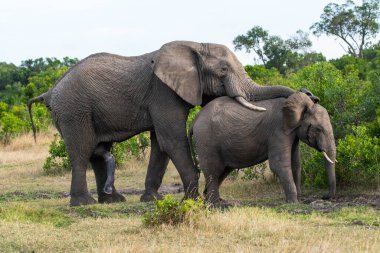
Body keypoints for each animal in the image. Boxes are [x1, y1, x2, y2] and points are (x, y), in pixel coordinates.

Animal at [29, 40, 296, 206]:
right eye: (223, 70)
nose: (304, 93)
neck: (195, 45)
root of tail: (50, 92)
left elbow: (160, 144)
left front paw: (151, 200)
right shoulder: (163, 92)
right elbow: (172, 140)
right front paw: (190, 200)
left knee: (98, 152)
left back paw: (113, 201)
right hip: (74, 110)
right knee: (82, 151)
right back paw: (83, 203)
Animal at [190, 92, 336, 207]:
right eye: (318, 129)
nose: (324, 196)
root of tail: (195, 119)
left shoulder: (293, 133)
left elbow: (296, 163)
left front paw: (297, 199)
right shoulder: (278, 129)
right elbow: (279, 164)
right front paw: (293, 202)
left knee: (223, 170)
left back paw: (212, 201)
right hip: (206, 139)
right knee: (213, 170)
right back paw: (214, 205)